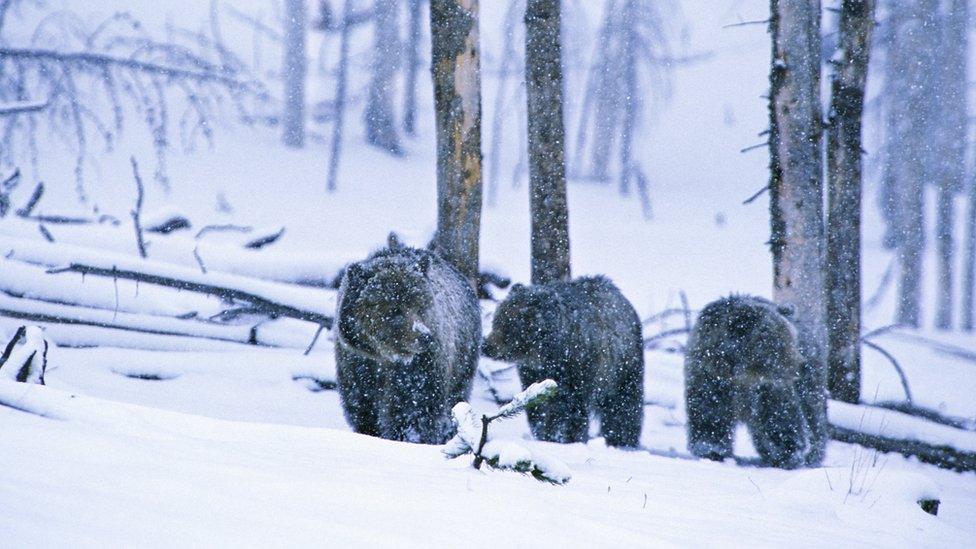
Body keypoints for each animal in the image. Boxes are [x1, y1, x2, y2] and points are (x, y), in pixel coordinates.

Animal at [336, 233, 480, 444]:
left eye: (421, 305)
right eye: (395, 309)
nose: (425, 337)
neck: (385, 358)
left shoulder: (419, 373)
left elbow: (414, 412)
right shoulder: (357, 370)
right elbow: (363, 412)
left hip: (464, 361)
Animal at [482, 276, 648, 448]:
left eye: (510, 325)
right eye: (497, 319)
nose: (486, 346)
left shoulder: (576, 368)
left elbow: (570, 410)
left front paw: (567, 437)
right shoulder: (533, 373)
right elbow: (538, 406)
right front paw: (544, 434)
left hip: (623, 367)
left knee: (623, 406)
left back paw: (622, 440)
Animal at [684, 294, 812, 468]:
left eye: (791, 338)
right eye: (775, 341)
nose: (803, 365)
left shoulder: (768, 388)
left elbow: (779, 416)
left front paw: (789, 451)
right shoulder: (711, 377)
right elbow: (711, 413)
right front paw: (712, 449)